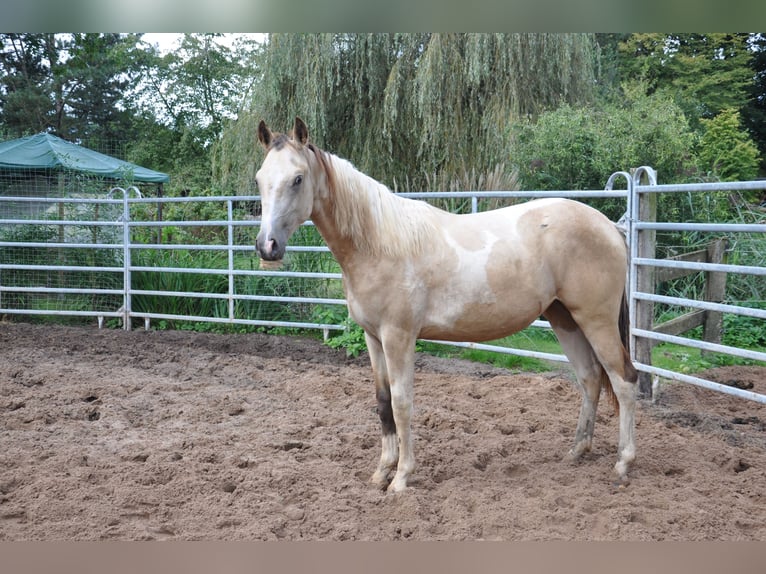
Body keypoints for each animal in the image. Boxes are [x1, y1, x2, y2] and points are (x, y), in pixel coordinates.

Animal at [255, 118, 640, 496]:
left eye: (298, 179)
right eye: (259, 179)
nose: (267, 246)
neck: (379, 243)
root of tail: (609, 226)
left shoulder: (398, 337)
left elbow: (402, 403)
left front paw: (401, 478)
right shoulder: (373, 338)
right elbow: (382, 402)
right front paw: (381, 472)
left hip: (596, 320)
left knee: (623, 380)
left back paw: (623, 463)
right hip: (565, 319)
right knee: (590, 379)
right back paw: (576, 451)